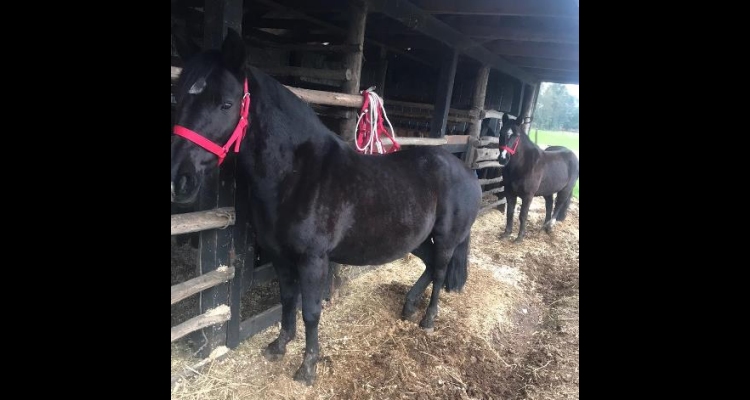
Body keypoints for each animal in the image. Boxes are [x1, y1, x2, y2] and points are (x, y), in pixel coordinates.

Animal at [500, 114, 580, 242]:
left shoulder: (528, 196)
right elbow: (510, 212)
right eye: (501, 133)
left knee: (559, 204)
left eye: (516, 136)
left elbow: (523, 215)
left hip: (565, 189)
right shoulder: (509, 192)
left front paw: (520, 237)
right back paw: (543, 227)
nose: (503, 158)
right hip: (548, 190)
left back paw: (550, 225)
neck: (523, 165)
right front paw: (506, 233)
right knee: (549, 205)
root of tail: (573, 155)